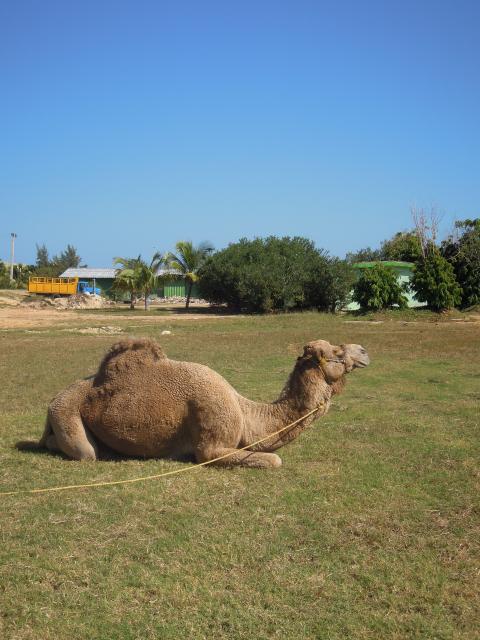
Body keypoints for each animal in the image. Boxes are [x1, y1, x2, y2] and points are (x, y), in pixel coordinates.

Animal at [24, 338, 370, 468]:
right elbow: (274, 460)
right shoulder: (212, 443)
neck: (246, 412)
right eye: (336, 352)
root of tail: (54, 399)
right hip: (66, 411)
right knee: (85, 452)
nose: (364, 351)